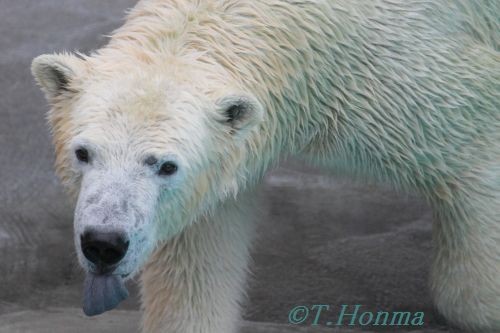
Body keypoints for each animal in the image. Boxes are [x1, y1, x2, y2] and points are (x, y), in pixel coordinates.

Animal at [32, 0, 500, 330]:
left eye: (165, 166)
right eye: (83, 153)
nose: (104, 243)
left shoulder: (389, 75)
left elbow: (477, 143)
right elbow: (199, 259)